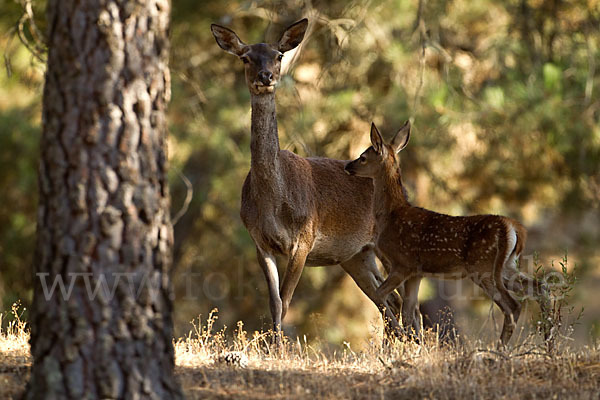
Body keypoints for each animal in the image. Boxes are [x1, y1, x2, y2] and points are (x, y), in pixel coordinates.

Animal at [209, 19, 400, 334]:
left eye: (278, 56)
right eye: (246, 57)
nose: (265, 76)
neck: (273, 202)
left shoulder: (304, 238)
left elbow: (286, 301)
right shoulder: (259, 241)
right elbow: (275, 302)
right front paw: (273, 341)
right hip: (355, 255)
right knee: (386, 300)